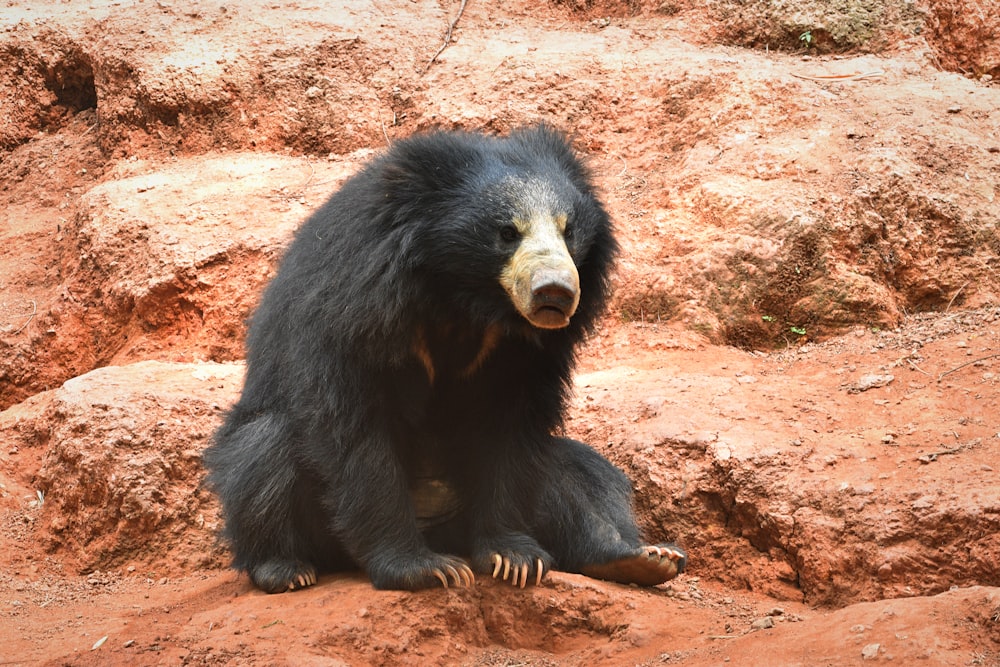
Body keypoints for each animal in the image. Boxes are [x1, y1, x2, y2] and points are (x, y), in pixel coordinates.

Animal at [203, 126, 688, 596]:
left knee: (587, 473)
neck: (463, 294)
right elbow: (352, 430)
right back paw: (284, 569)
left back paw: (641, 558)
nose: (554, 292)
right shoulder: (354, 309)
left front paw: (513, 557)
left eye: (568, 230)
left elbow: (513, 432)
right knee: (262, 451)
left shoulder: (529, 352)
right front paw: (424, 569)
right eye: (506, 232)